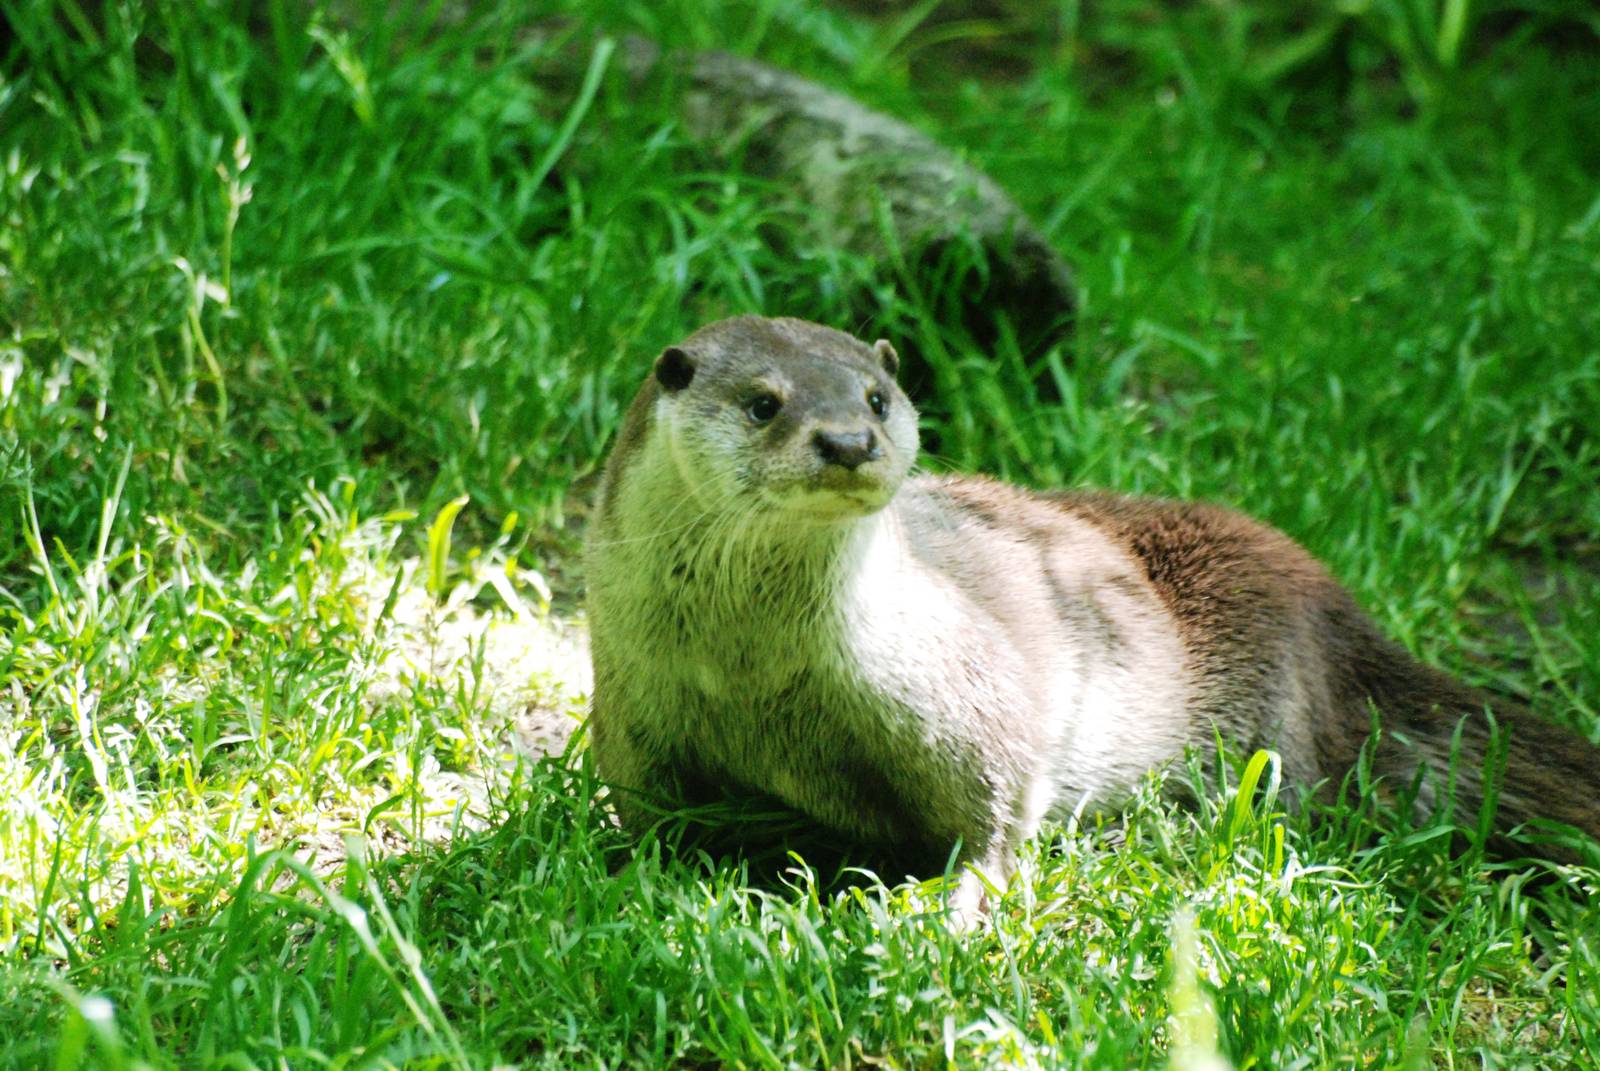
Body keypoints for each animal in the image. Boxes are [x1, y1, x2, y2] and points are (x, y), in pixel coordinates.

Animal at [585, 315, 1600, 915]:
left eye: (877, 397)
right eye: (765, 403)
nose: (847, 441)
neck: (757, 674)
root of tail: (1324, 598)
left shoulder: (967, 691)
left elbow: (995, 810)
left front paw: (941, 908)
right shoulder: (635, 706)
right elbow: (645, 815)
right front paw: (640, 879)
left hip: (1262, 714)